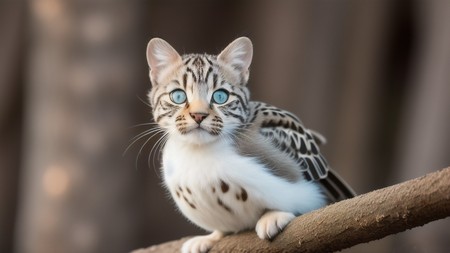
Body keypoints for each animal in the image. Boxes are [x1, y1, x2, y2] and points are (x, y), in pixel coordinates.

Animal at [145, 36, 356, 253]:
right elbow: (220, 230)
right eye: (178, 96)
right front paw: (210, 237)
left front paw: (273, 215)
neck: (197, 150)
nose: (198, 115)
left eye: (220, 96)